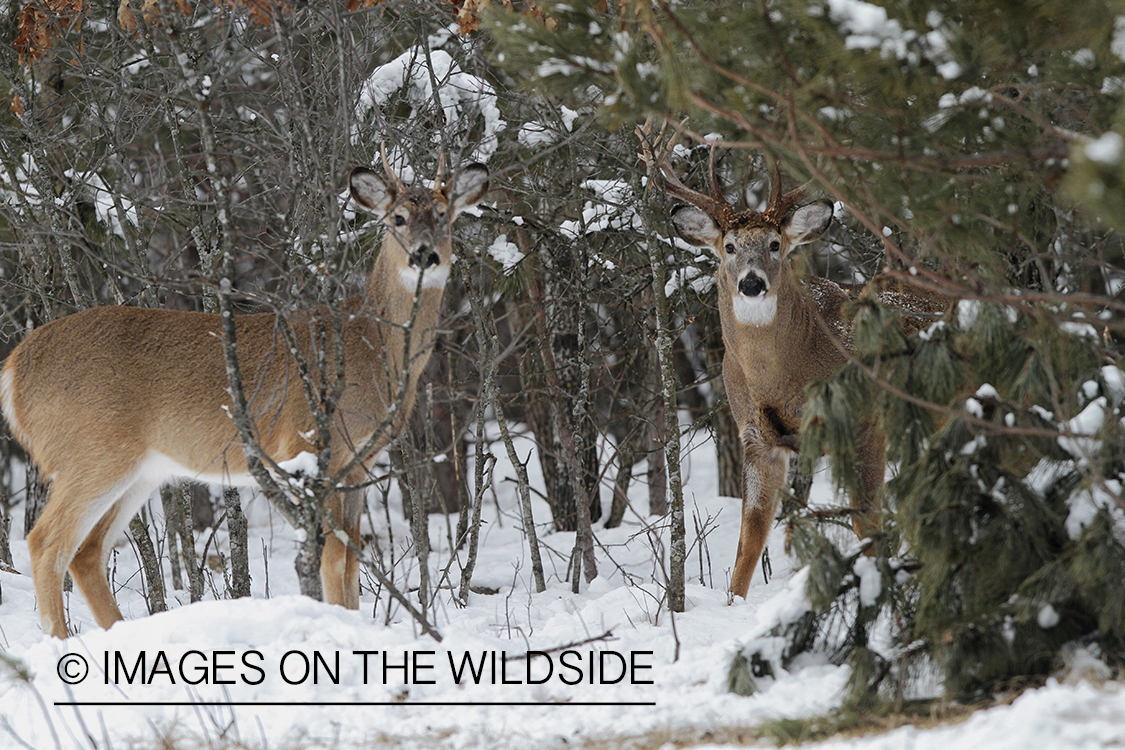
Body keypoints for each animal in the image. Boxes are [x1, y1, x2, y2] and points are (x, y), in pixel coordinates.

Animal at [2, 158, 490, 638]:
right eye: (398, 219)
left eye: (444, 215)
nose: (424, 255)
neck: (372, 345)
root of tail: (12, 371)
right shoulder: (311, 447)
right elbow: (333, 556)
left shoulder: (358, 463)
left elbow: (352, 556)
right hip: (91, 451)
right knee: (46, 542)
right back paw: (62, 641)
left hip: (140, 468)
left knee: (87, 551)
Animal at [643, 137, 949, 602]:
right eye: (729, 247)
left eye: (774, 244)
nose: (752, 283)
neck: (782, 379)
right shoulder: (756, 439)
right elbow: (749, 542)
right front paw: (733, 603)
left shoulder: (865, 423)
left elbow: (867, 524)